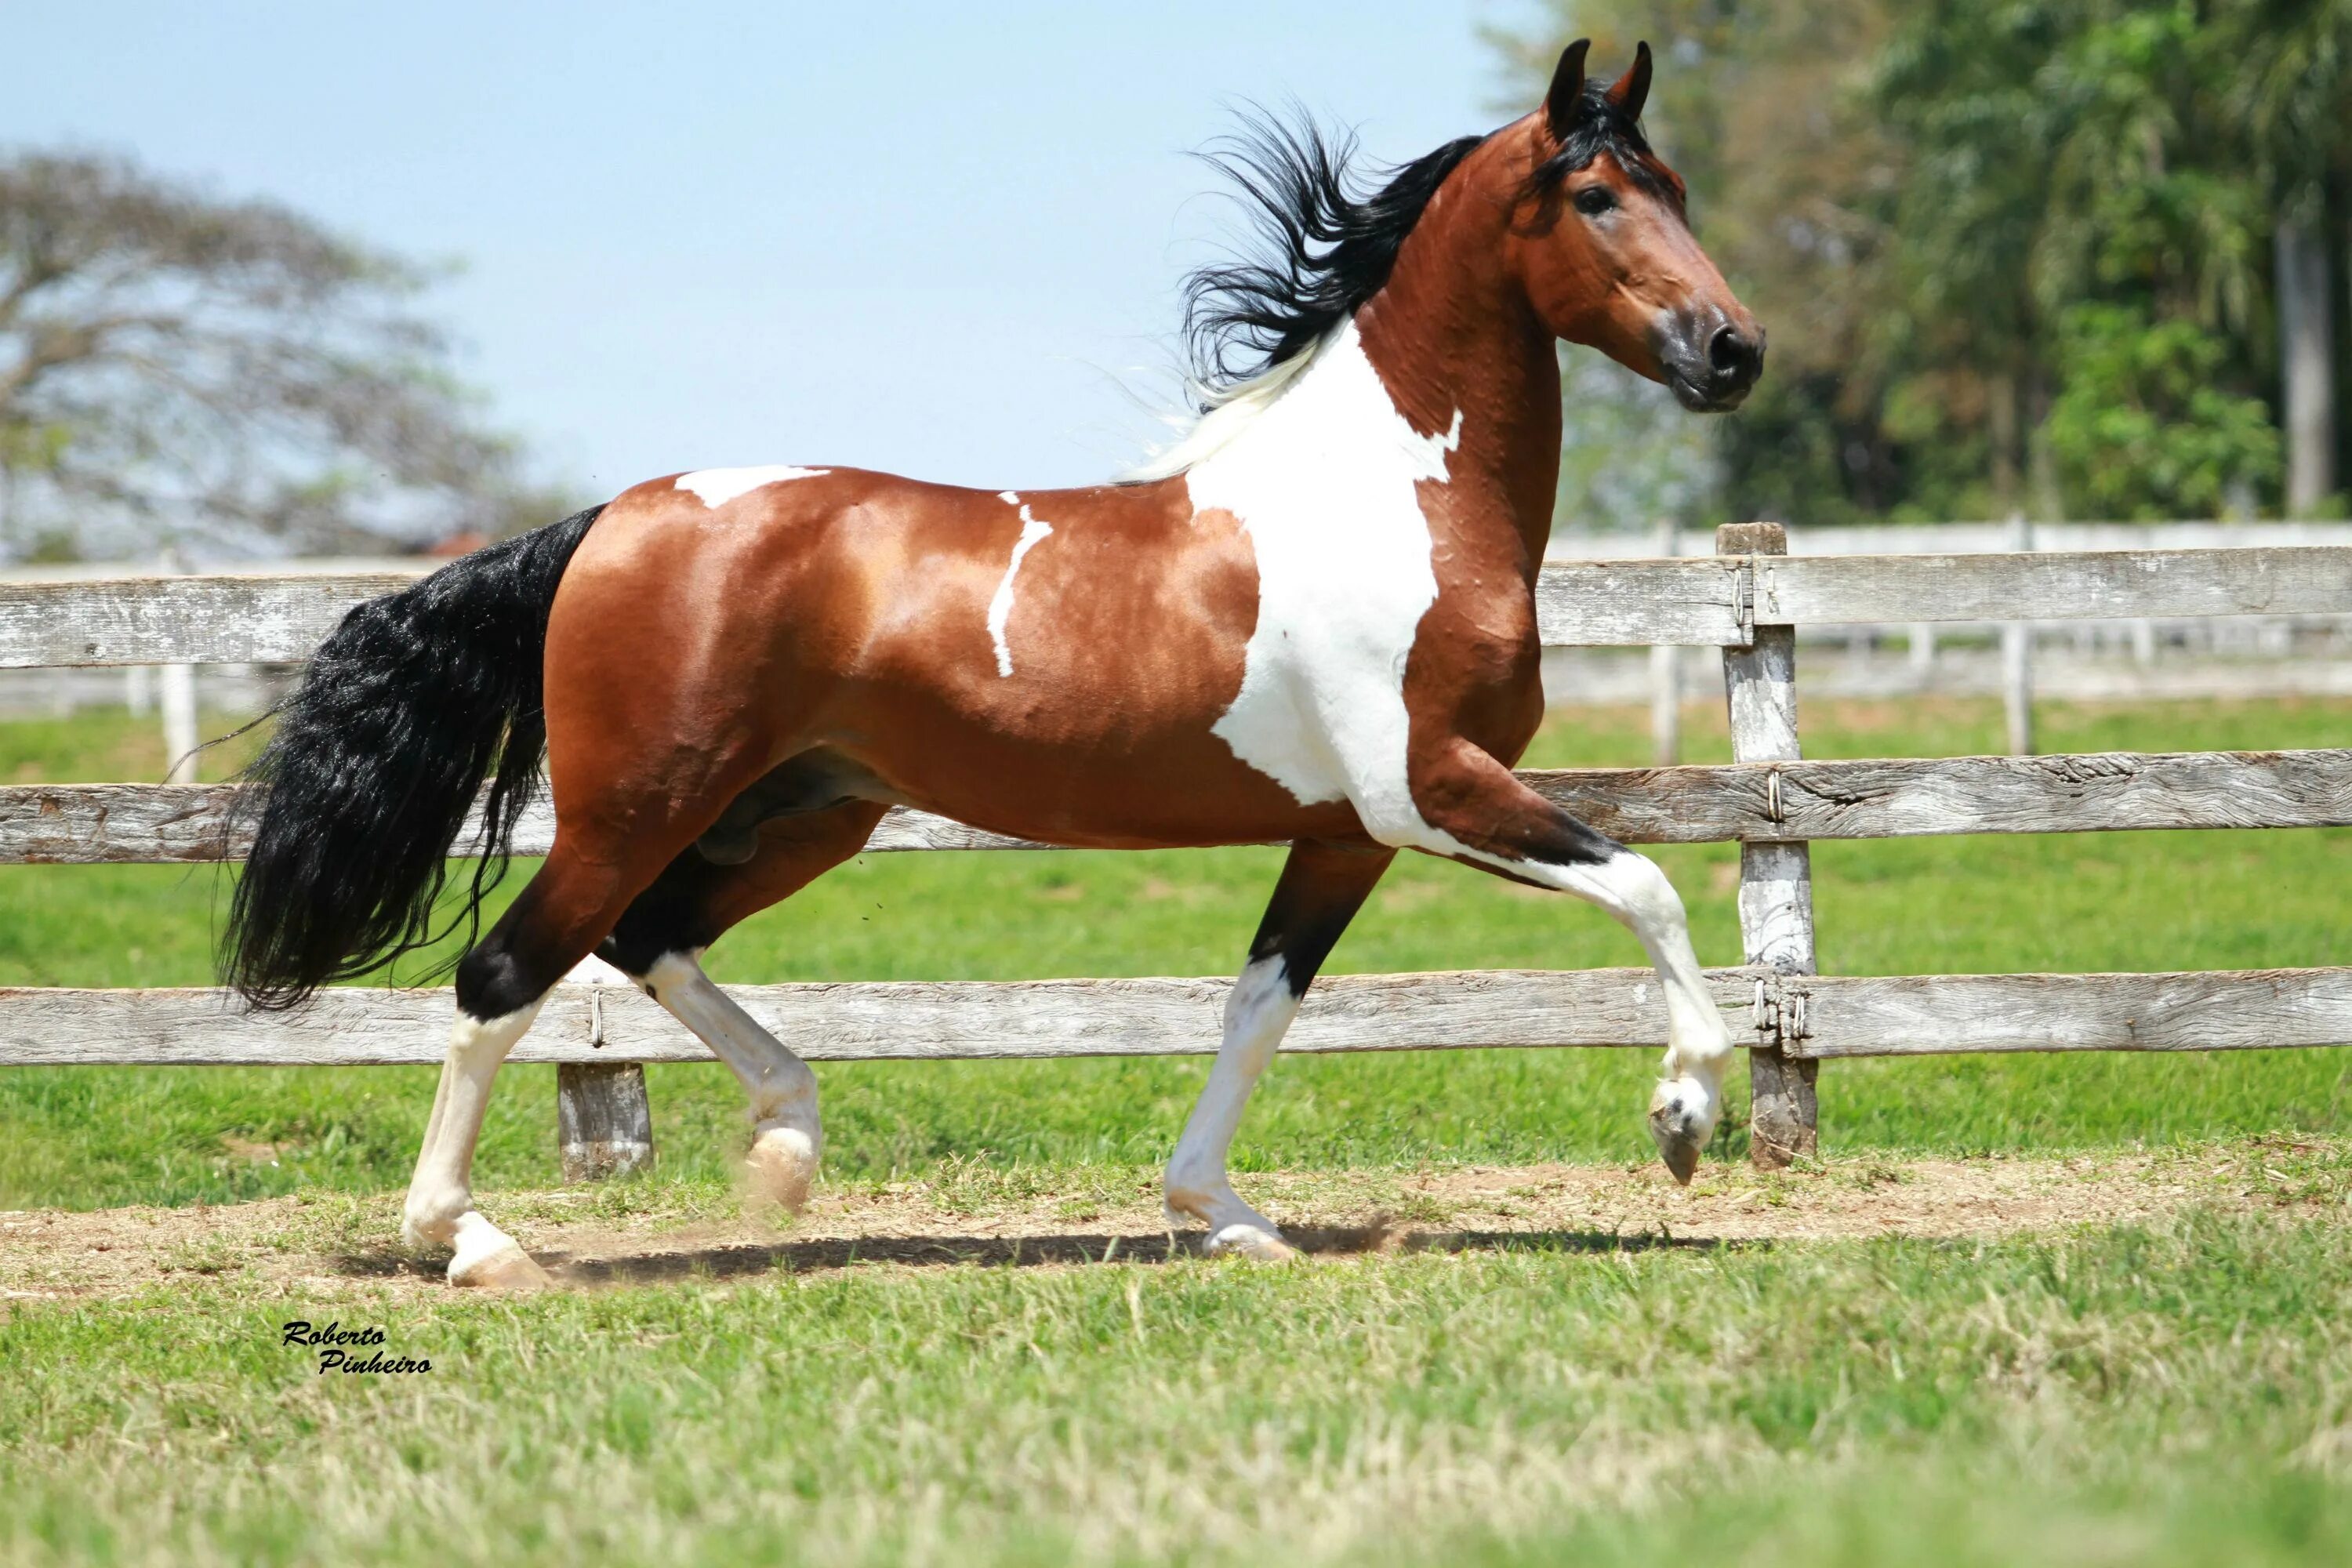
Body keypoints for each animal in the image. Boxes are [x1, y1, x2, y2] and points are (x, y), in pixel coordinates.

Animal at [224, 39, 1769, 1288]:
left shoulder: (1345, 831)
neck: (1390, 494)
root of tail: (614, 517)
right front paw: (1685, 1116)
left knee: (643, 940)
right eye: (1597, 197)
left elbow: (1259, 1007)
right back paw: (476, 1243)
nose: (1732, 351)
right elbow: (1647, 885)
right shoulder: (1429, 789)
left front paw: (1221, 1215)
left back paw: (787, 1143)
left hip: (795, 813)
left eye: (1686, 188)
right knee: (504, 977)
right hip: (639, 804)